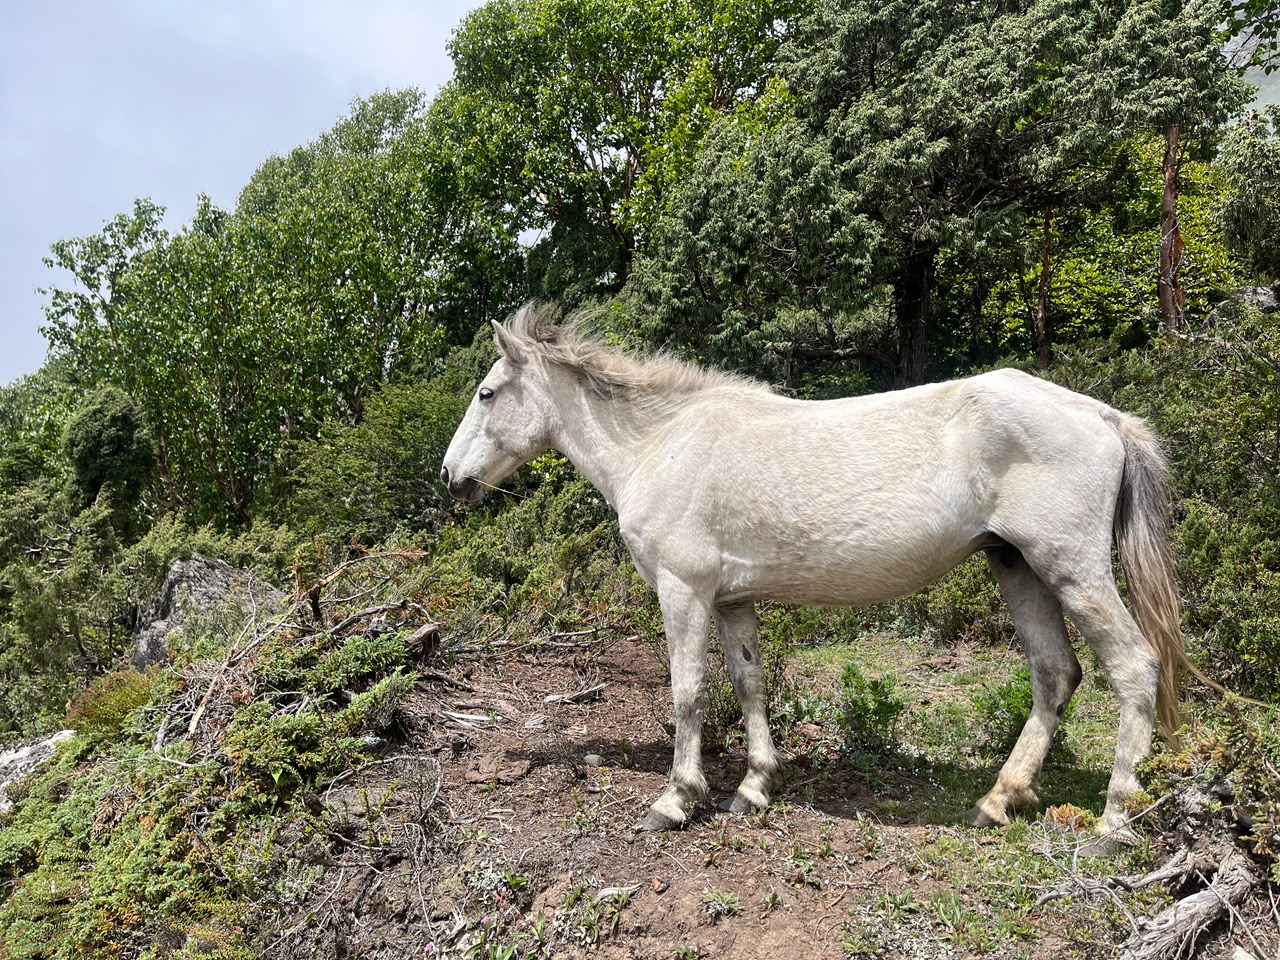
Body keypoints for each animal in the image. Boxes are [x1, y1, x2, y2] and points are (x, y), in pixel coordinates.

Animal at [440, 303, 1183, 841]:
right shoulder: (732, 600)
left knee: (1134, 668)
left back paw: (1114, 820)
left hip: (1074, 571)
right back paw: (997, 802)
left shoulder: (684, 592)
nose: (451, 478)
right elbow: (748, 685)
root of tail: (1103, 415)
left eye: (486, 393)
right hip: (1019, 568)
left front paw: (676, 800)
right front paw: (753, 788)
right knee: (1055, 675)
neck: (660, 443)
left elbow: (687, 693)